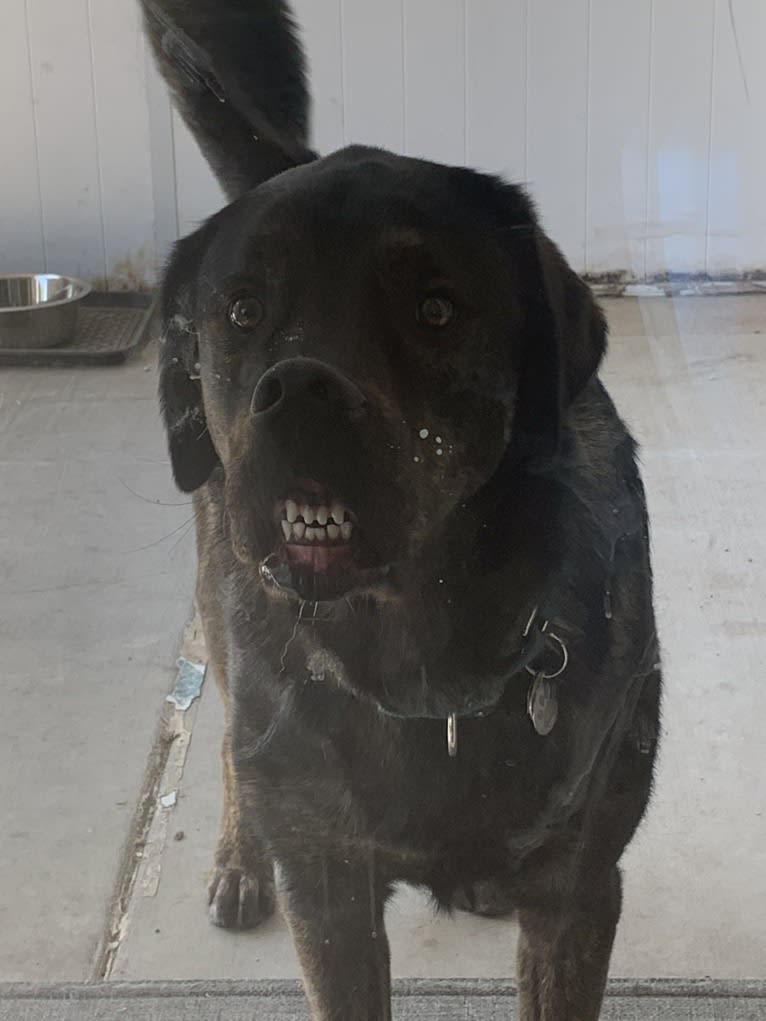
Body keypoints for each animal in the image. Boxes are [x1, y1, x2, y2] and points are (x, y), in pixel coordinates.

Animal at [142, 3, 661, 1016]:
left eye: (436, 309)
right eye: (242, 310)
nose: (297, 391)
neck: (422, 659)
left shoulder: (579, 893)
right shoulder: (332, 894)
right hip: (226, 611)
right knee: (228, 738)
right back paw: (240, 858)